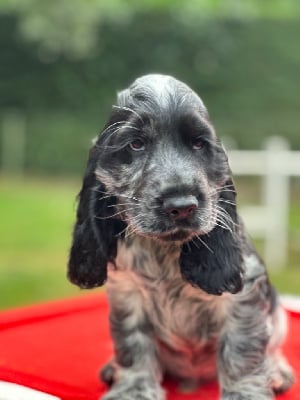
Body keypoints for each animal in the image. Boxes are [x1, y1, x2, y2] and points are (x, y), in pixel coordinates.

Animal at [67, 73, 292, 398]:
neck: (164, 252)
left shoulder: (243, 295)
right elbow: (133, 344)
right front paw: (133, 388)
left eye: (199, 144)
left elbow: (242, 350)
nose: (182, 206)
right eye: (136, 144)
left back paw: (277, 372)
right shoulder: (127, 293)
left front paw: (244, 392)